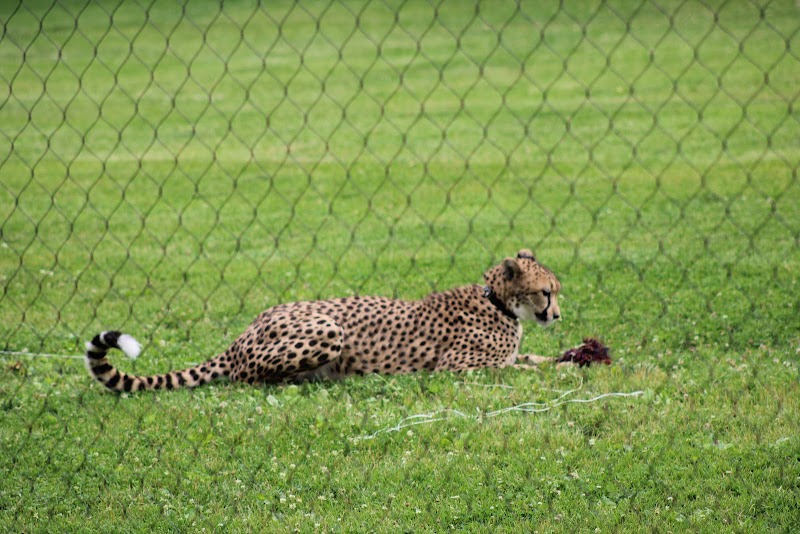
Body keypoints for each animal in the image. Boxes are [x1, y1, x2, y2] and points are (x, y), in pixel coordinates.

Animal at [84, 249, 562, 392]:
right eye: (547, 291)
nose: (557, 314)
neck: (498, 302)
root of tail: (243, 334)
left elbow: (533, 359)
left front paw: (565, 360)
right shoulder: (455, 368)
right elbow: (517, 369)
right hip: (329, 328)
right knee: (247, 378)